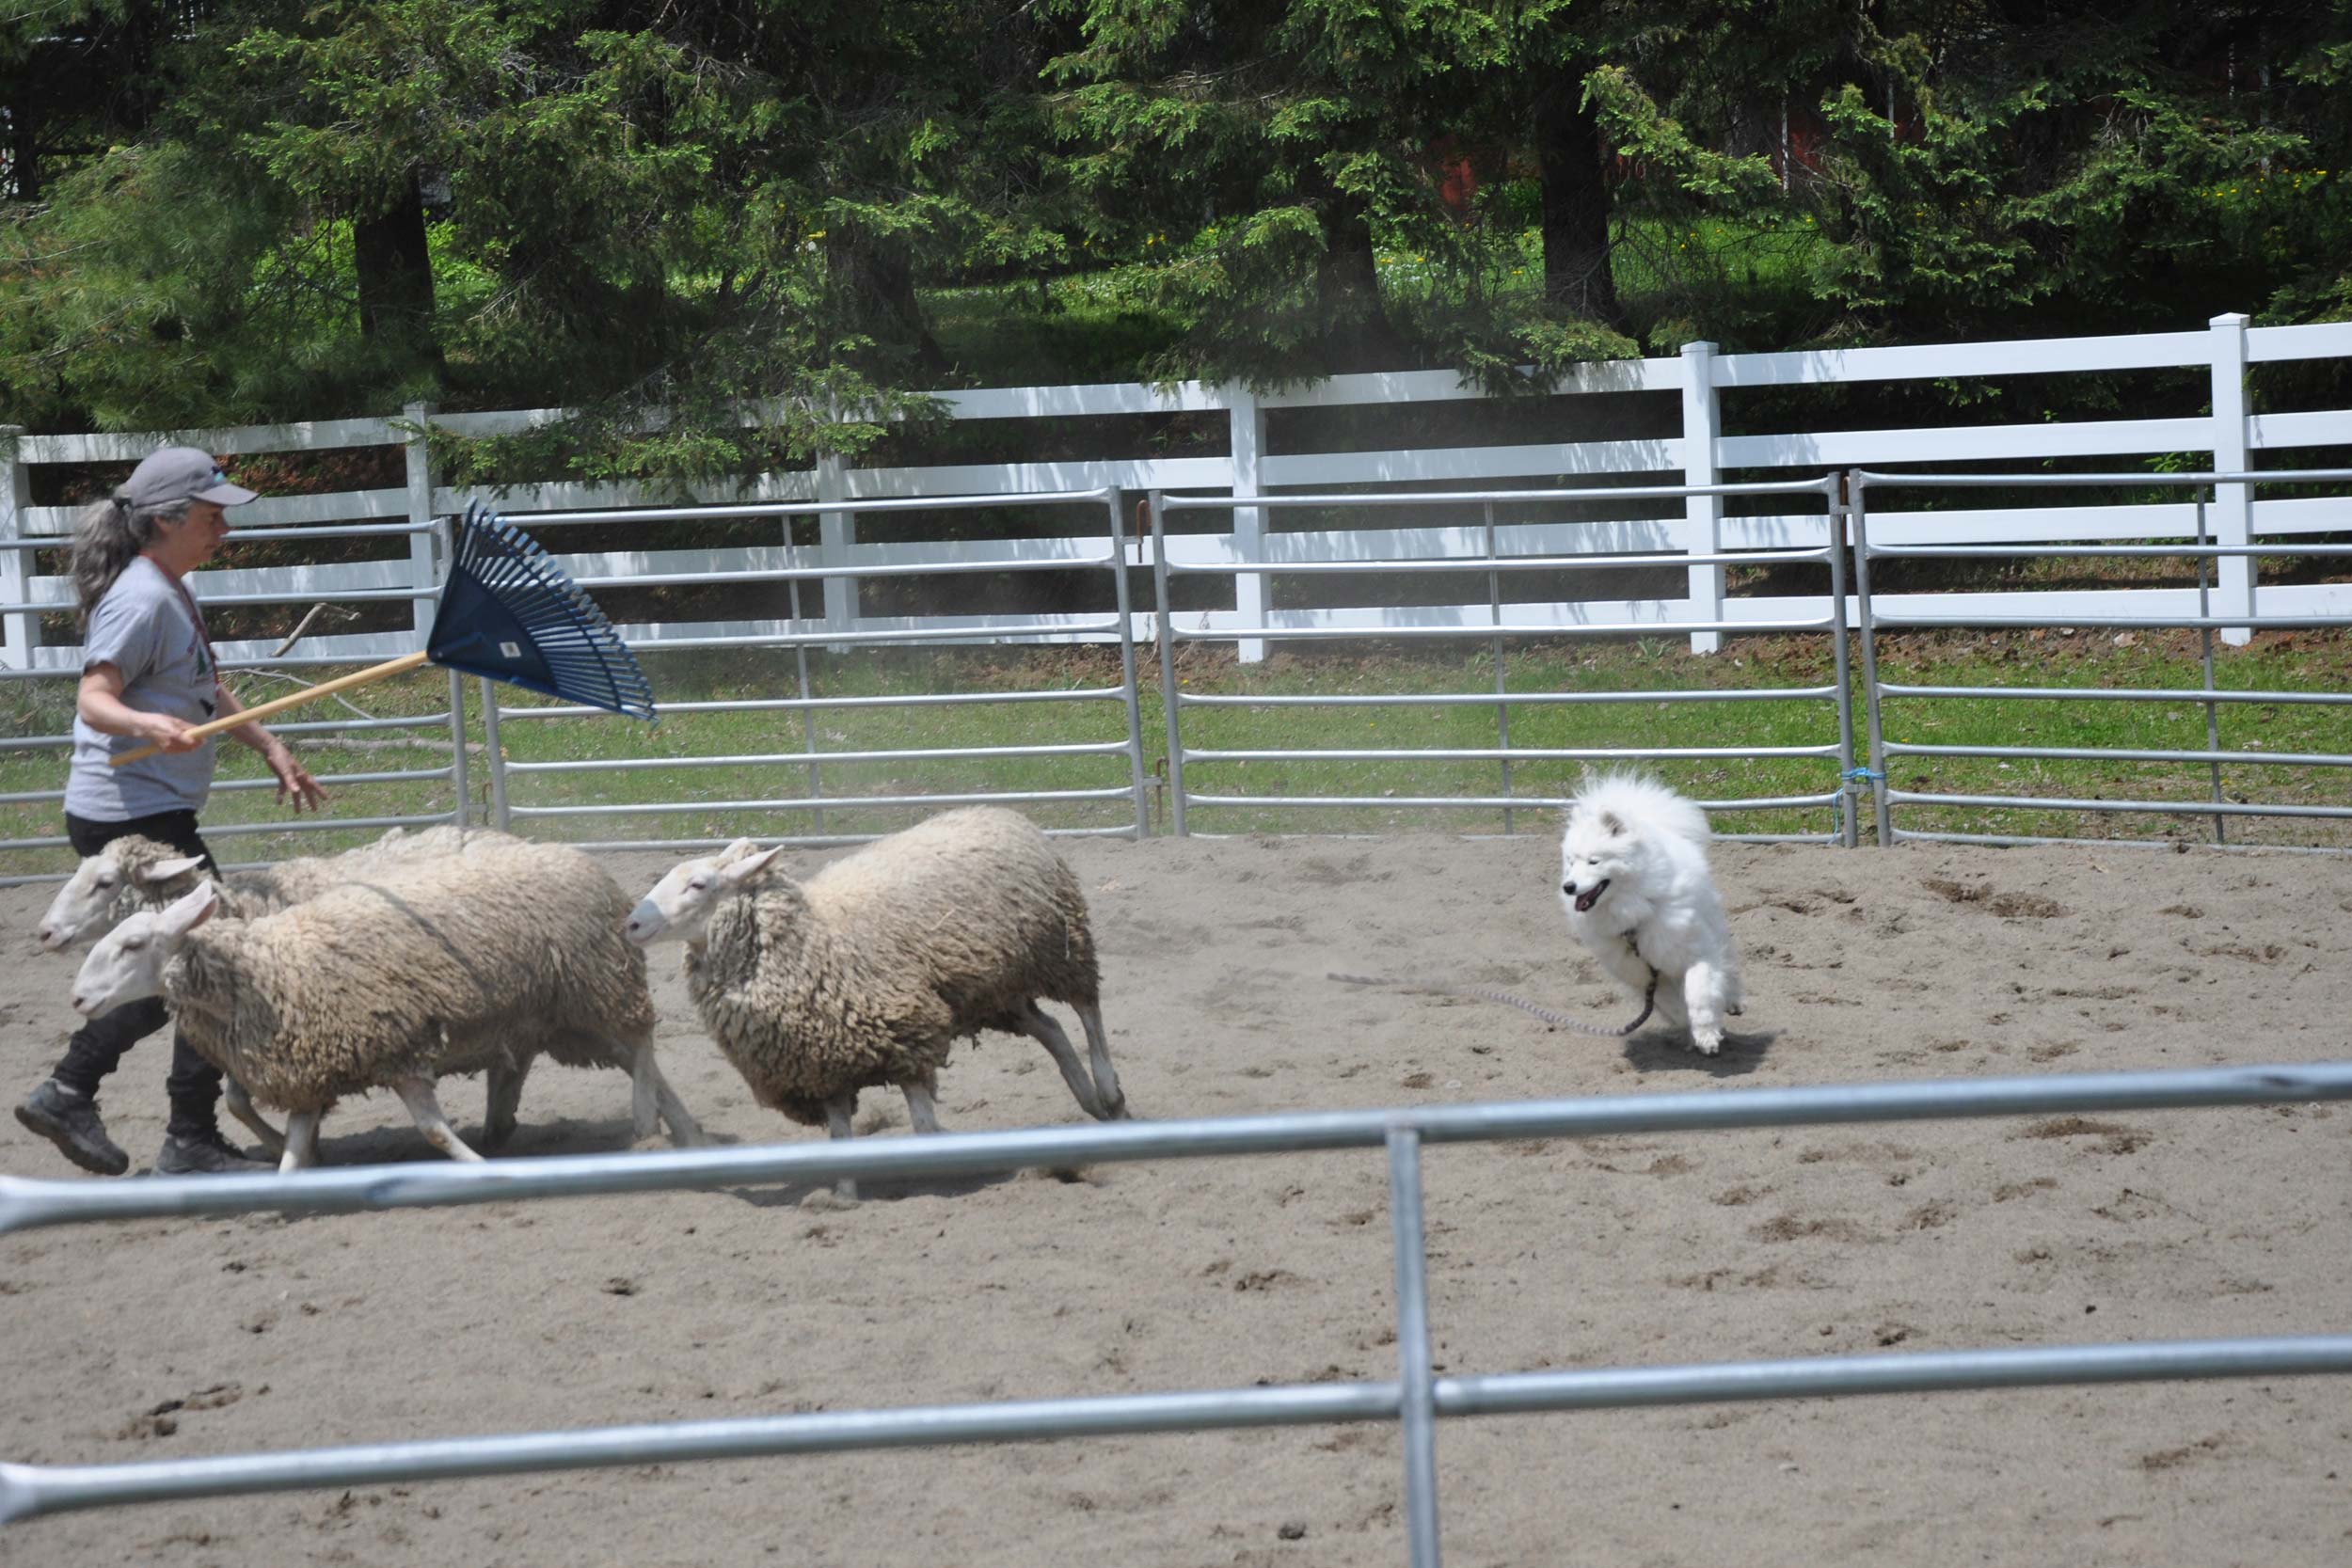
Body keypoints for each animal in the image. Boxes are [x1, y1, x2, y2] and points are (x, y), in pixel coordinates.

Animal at [626, 808, 1129, 1203]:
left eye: (698, 884)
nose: (631, 924)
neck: (811, 941)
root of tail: (997, 811)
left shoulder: (910, 1035)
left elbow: (924, 1129)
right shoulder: (822, 1064)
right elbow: (840, 1138)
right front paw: (843, 1197)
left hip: (1061, 948)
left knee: (1088, 1010)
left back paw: (1109, 1093)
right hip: (996, 990)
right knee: (1052, 1030)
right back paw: (1089, 1100)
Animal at [1562, 770, 1750, 1053]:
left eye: (1594, 861)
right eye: (1570, 863)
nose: (1568, 886)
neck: (1635, 912)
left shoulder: (1696, 952)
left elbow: (1699, 993)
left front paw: (1706, 1034)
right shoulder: (1647, 978)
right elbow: (1675, 1006)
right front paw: (1692, 1031)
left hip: (1714, 927)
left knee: (1729, 965)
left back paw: (1733, 1001)